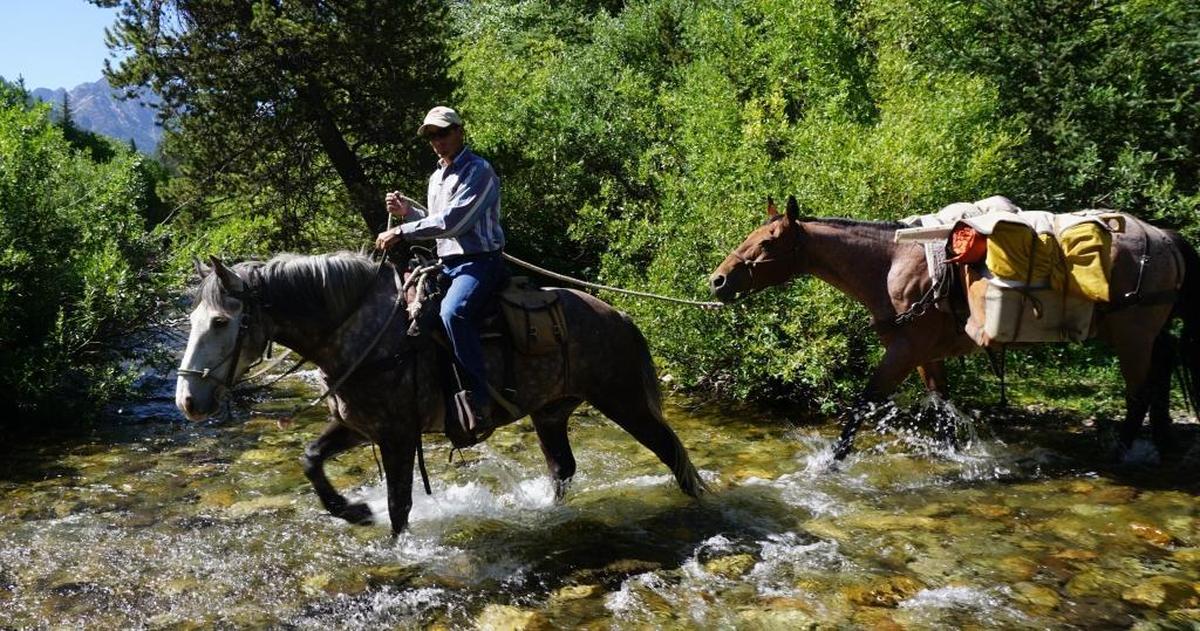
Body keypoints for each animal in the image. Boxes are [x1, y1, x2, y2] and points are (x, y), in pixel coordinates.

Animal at [175, 252, 706, 535]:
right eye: (192, 320)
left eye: (221, 322)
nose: (188, 402)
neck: (365, 335)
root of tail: (618, 315)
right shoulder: (358, 425)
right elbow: (311, 458)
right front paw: (353, 512)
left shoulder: (397, 434)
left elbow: (400, 503)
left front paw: (399, 547)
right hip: (551, 413)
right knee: (562, 469)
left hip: (624, 401)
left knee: (672, 452)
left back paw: (699, 503)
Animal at [708, 195, 1200, 461]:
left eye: (768, 242)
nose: (718, 281)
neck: (891, 264)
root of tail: (1164, 238)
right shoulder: (928, 355)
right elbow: (942, 408)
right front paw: (953, 455)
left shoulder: (904, 352)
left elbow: (861, 406)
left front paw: (831, 462)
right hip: (1146, 334)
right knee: (1161, 372)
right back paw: (1162, 443)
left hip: (1132, 336)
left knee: (1138, 391)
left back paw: (1122, 451)